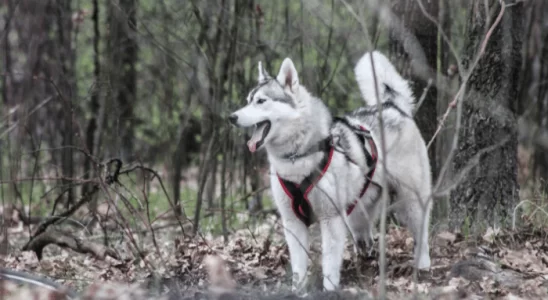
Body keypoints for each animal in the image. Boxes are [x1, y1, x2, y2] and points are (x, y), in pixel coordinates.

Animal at [228, 51, 432, 290]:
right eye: (248, 101)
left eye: (261, 101)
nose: (232, 117)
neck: (297, 157)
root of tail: (392, 106)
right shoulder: (292, 222)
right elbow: (299, 265)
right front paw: (298, 290)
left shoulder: (330, 218)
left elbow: (329, 261)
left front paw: (329, 289)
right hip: (358, 209)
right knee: (364, 234)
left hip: (411, 201)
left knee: (421, 234)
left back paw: (423, 265)